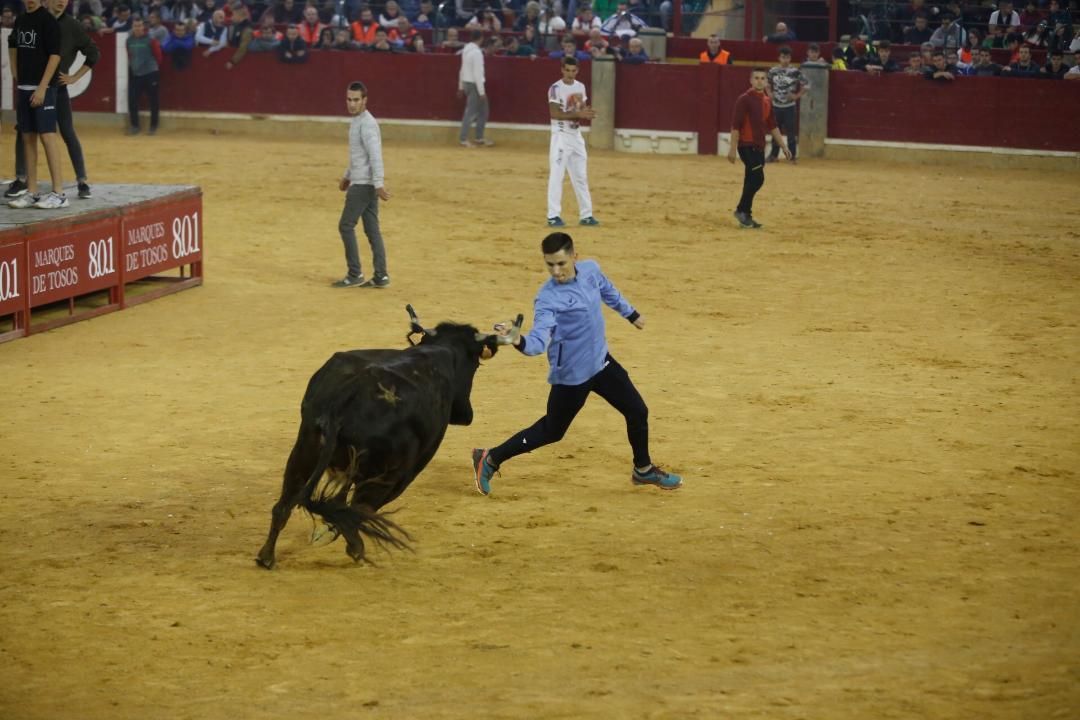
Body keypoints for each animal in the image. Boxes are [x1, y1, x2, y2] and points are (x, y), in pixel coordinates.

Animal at [254, 304, 520, 569]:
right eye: (476, 363)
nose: (465, 415)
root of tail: (352, 391)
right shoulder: (406, 472)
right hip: (387, 475)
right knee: (358, 508)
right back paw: (355, 548)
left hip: (305, 448)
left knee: (284, 505)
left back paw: (267, 556)